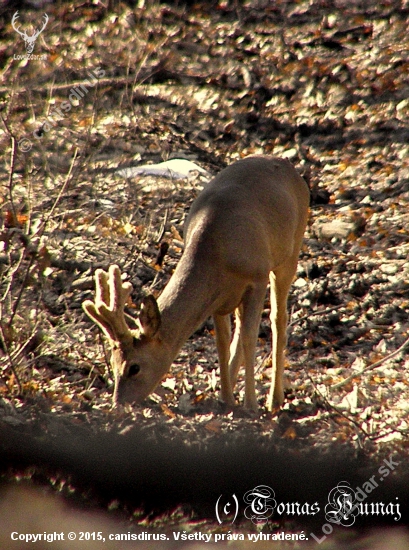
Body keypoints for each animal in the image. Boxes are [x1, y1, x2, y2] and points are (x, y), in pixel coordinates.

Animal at [81, 157, 308, 412]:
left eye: (134, 367)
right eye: (112, 362)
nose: (118, 403)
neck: (216, 250)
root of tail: (289, 167)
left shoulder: (256, 278)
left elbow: (250, 337)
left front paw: (250, 405)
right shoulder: (219, 297)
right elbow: (223, 342)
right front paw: (226, 399)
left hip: (290, 253)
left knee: (278, 320)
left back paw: (274, 399)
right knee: (241, 329)